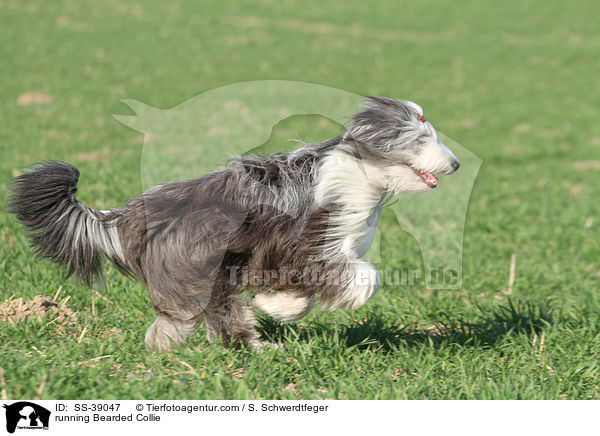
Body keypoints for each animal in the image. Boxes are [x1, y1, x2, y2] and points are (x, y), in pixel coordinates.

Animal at [8, 97, 460, 350]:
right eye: (422, 139)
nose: (455, 165)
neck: (362, 172)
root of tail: (128, 216)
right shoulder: (310, 246)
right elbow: (365, 278)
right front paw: (273, 306)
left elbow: (303, 293)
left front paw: (275, 305)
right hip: (207, 268)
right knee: (218, 316)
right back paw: (255, 350)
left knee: (180, 320)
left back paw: (165, 351)